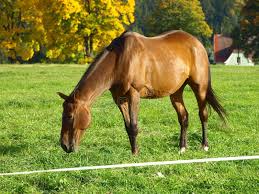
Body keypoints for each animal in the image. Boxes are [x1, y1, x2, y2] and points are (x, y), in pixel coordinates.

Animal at [58, 30, 226, 155]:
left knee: (203, 114)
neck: (120, 59)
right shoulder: (119, 99)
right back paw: (182, 148)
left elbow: (133, 126)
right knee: (184, 117)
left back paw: (204, 145)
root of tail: (197, 44)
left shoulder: (134, 94)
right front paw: (135, 151)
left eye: (69, 116)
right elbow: (127, 126)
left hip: (200, 87)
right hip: (176, 92)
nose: (64, 145)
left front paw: (135, 154)